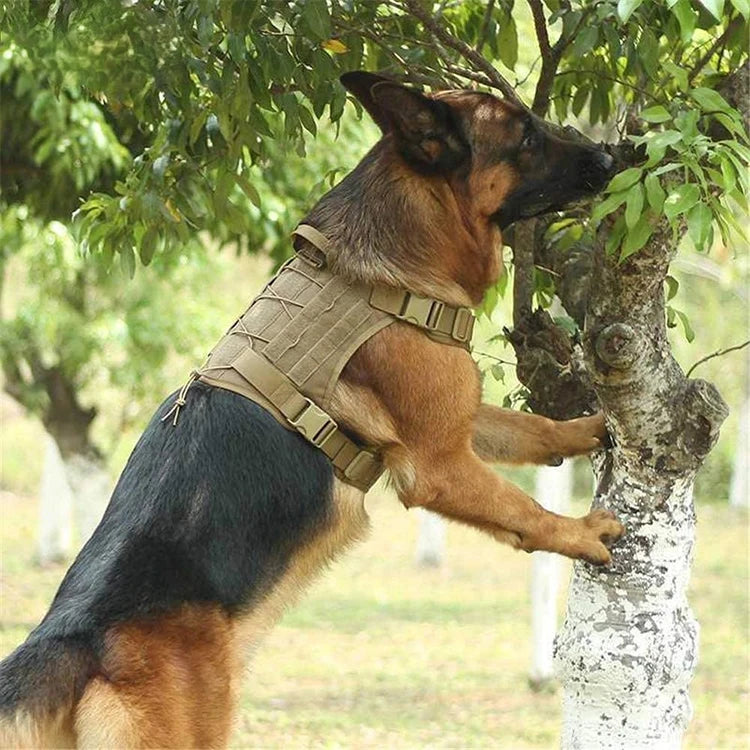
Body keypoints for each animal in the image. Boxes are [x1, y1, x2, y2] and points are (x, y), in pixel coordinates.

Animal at [0, 72, 624, 750]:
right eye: (527, 137)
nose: (612, 158)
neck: (390, 266)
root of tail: (72, 639)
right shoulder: (437, 465)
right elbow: (522, 511)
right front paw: (581, 533)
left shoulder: (456, 420)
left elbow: (533, 430)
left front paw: (591, 427)